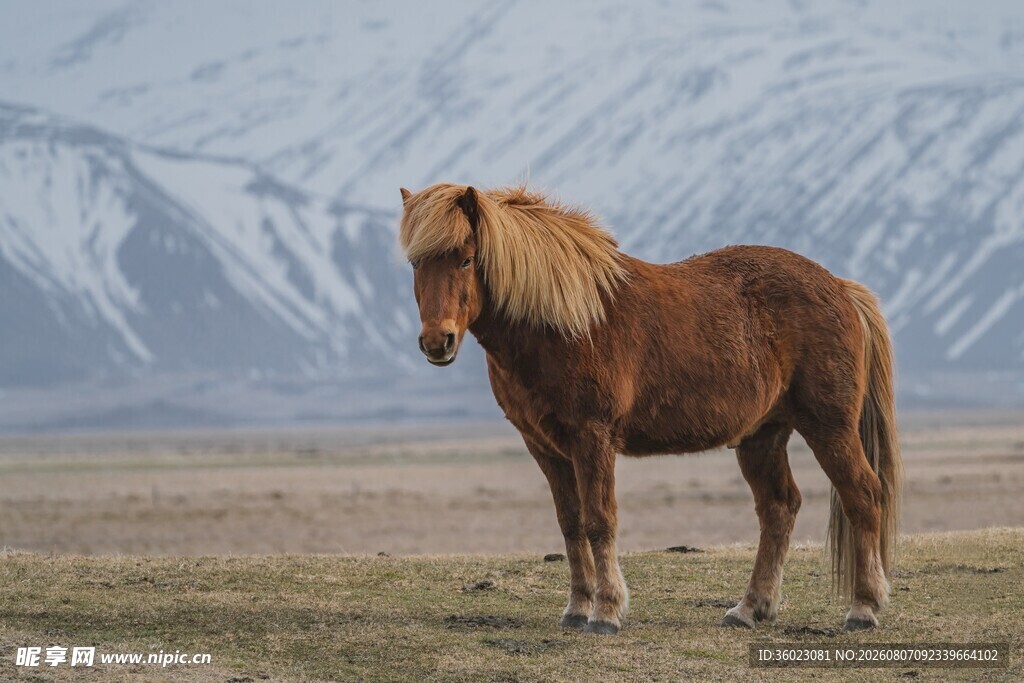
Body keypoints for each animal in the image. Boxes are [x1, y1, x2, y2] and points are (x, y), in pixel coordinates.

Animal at [398, 183, 902, 635]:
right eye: (416, 263)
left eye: (466, 258)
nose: (437, 341)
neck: (562, 323)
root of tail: (841, 288)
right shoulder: (545, 447)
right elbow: (570, 524)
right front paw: (576, 608)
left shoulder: (593, 437)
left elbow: (599, 521)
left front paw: (605, 613)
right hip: (762, 435)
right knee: (779, 506)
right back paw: (749, 609)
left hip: (829, 427)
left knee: (862, 494)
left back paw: (863, 608)